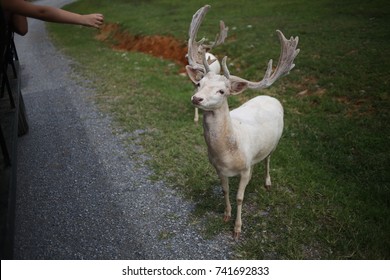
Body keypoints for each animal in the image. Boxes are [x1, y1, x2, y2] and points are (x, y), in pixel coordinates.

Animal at [185, 5, 298, 240]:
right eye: (199, 83)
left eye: (222, 91)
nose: (196, 99)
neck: (227, 154)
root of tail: (270, 97)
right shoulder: (218, 168)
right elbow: (226, 191)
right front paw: (226, 215)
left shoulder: (245, 170)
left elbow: (239, 197)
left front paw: (237, 228)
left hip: (275, 142)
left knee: (268, 159)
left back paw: (267, 182)